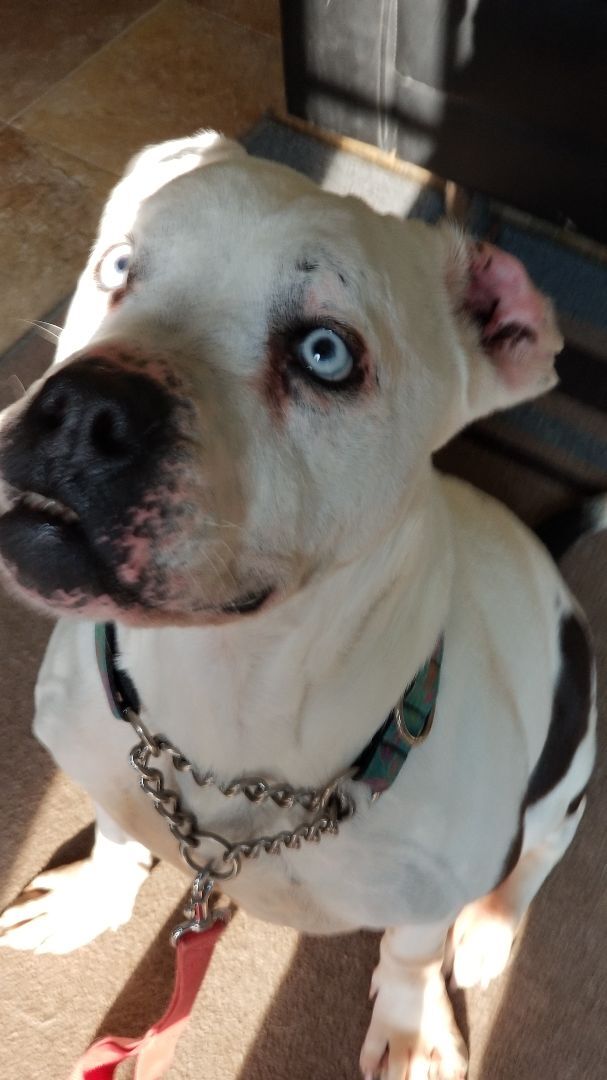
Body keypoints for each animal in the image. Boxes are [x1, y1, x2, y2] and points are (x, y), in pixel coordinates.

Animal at [0, 130, 596, 1075]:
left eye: (325, 353)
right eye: (118, 265)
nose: (84, 408)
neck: (225, 698)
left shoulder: (428, 887)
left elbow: (410, 949)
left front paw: (411, 1024)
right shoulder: (102, 760)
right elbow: (117, 832)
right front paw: (91, 897)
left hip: (569, 764)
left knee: (539, 850)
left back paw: (491, 927)